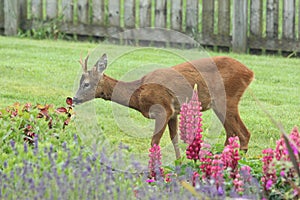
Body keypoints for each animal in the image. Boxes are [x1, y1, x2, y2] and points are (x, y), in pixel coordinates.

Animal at [72, 53, 253, 159]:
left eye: (86, 84)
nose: (74, 99)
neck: (138, 94)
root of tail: (250, 73)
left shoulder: (162, 109)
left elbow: (154, 142)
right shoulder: (173, 113)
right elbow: (175, 140)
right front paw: (179, 165)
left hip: (227, 99)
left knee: (244, 134)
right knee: (231, 134)